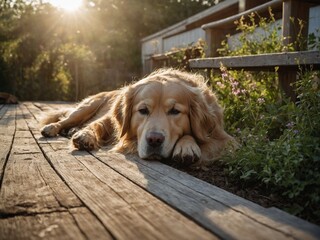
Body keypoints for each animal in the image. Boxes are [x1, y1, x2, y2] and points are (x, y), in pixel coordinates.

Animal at [41, 68, 234, 166]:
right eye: (143, 110)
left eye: (175, 111)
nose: (154, 140)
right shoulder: (109, 120)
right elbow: (96, 125)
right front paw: (85, 136)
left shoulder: (222, 137)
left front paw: (187, 146)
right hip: (86, 107)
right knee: (65, 120)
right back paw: (54, 128)